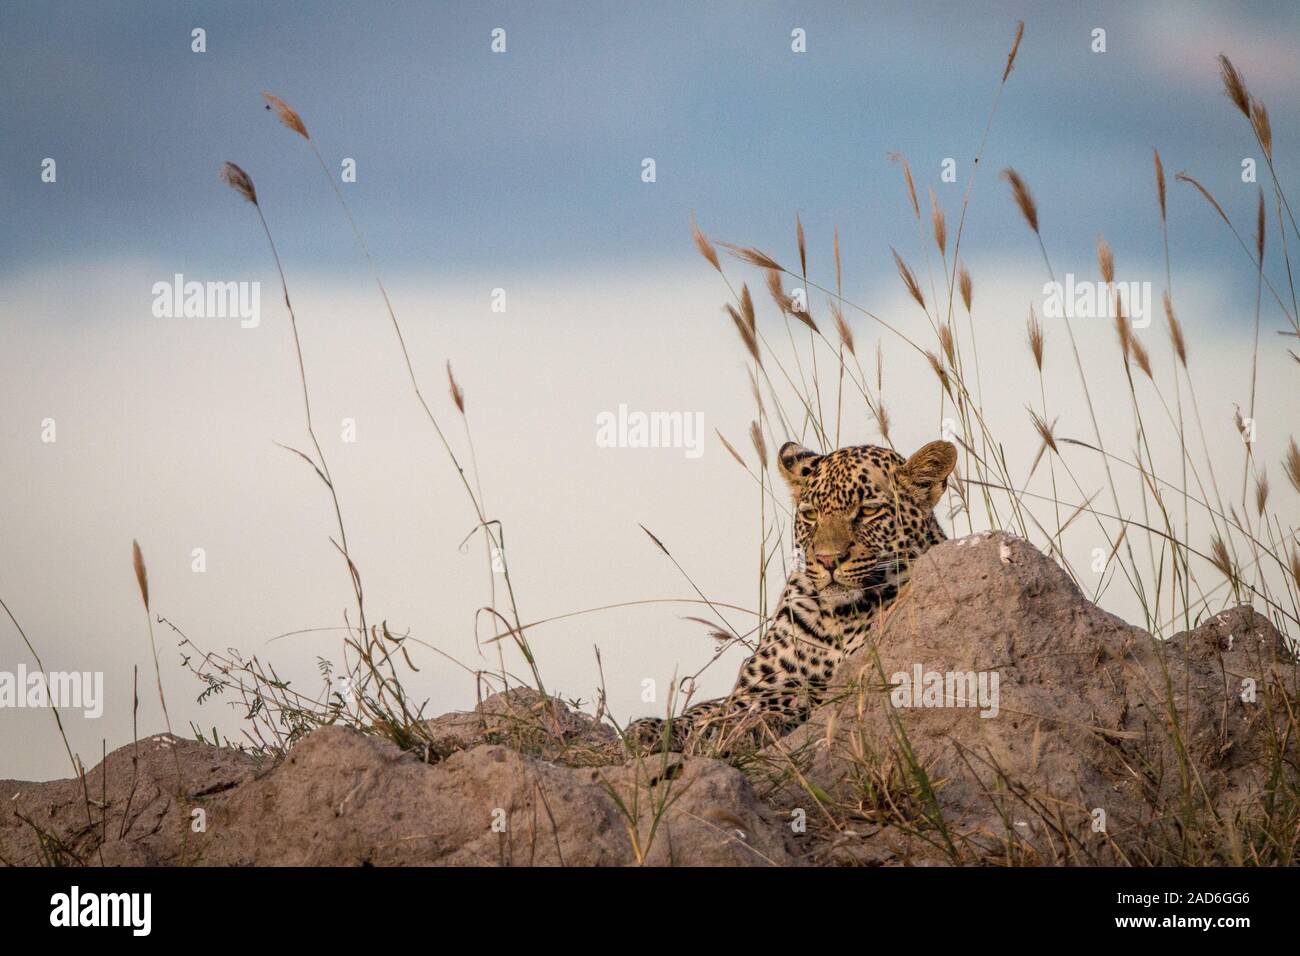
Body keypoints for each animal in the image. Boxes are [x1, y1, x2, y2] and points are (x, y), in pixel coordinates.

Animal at [624, 434, 961, 754]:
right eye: (811, 515)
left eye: (868, 511)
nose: (827, 559)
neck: (837, 618)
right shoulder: (756, 683)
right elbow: (707, 706)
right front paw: (651, 729)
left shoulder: (842, 681)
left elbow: (792, 698)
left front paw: (733, 727)